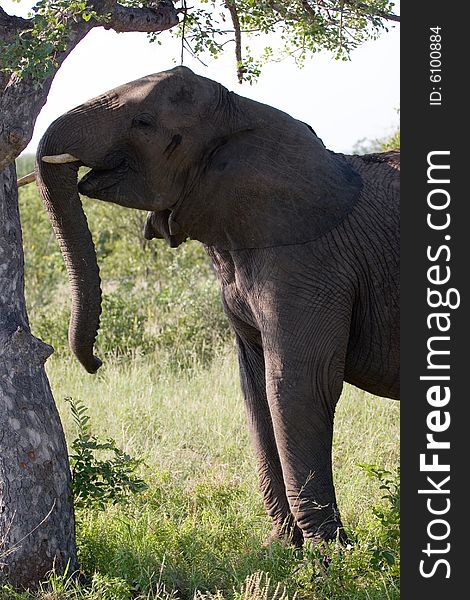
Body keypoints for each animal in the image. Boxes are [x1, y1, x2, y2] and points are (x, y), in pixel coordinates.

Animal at [35, 67, 400, 548]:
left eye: (144, 123)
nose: (94, 363)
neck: (242, 112)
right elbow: (255, 390)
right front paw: (280, 549)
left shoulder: (310, 262)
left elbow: (298, 385)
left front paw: (332, 556)